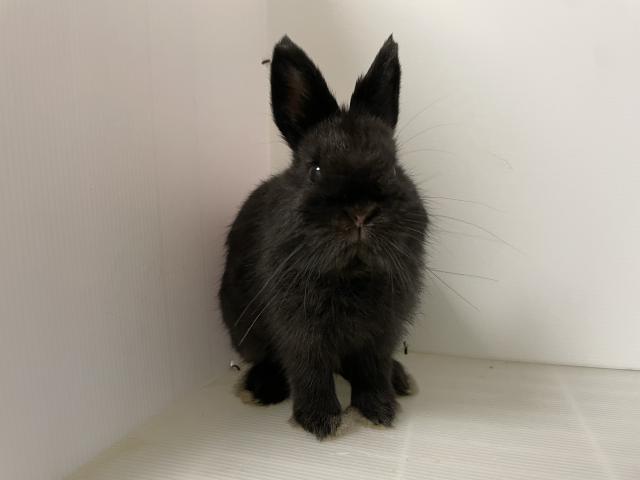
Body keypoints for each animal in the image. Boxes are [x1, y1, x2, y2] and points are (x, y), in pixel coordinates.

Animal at [219, 35, 428, 439]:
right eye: (315, 170)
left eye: (393, 169)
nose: (361, 211)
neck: (351, 275)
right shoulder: (300, 332)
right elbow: (310, 372)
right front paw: (321, 421)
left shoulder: (381, 333)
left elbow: (372, 370)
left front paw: (379, 411)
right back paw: (261, 387)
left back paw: (400, 380)